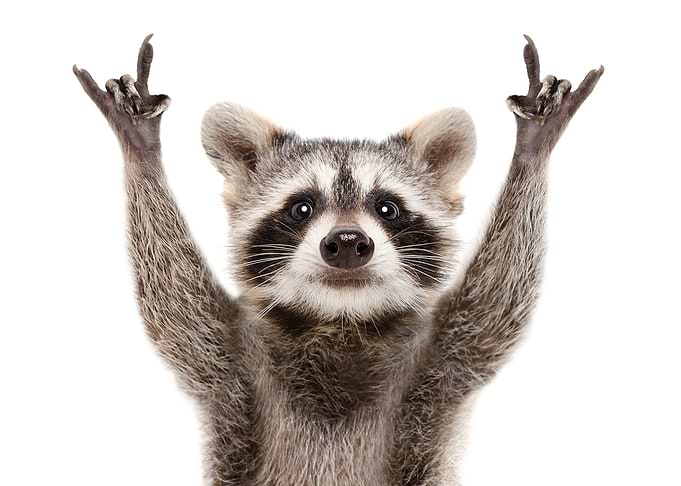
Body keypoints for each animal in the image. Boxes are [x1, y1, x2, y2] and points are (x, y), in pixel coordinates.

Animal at [74, 34, 603, 485]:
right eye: (301, 208)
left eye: (387, 208)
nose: (347, 242)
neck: (341, 319)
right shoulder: (229, 360)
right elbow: (174, 302)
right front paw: (142, 151)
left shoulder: (442, 358)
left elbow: (497, 303)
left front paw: (532, 150)